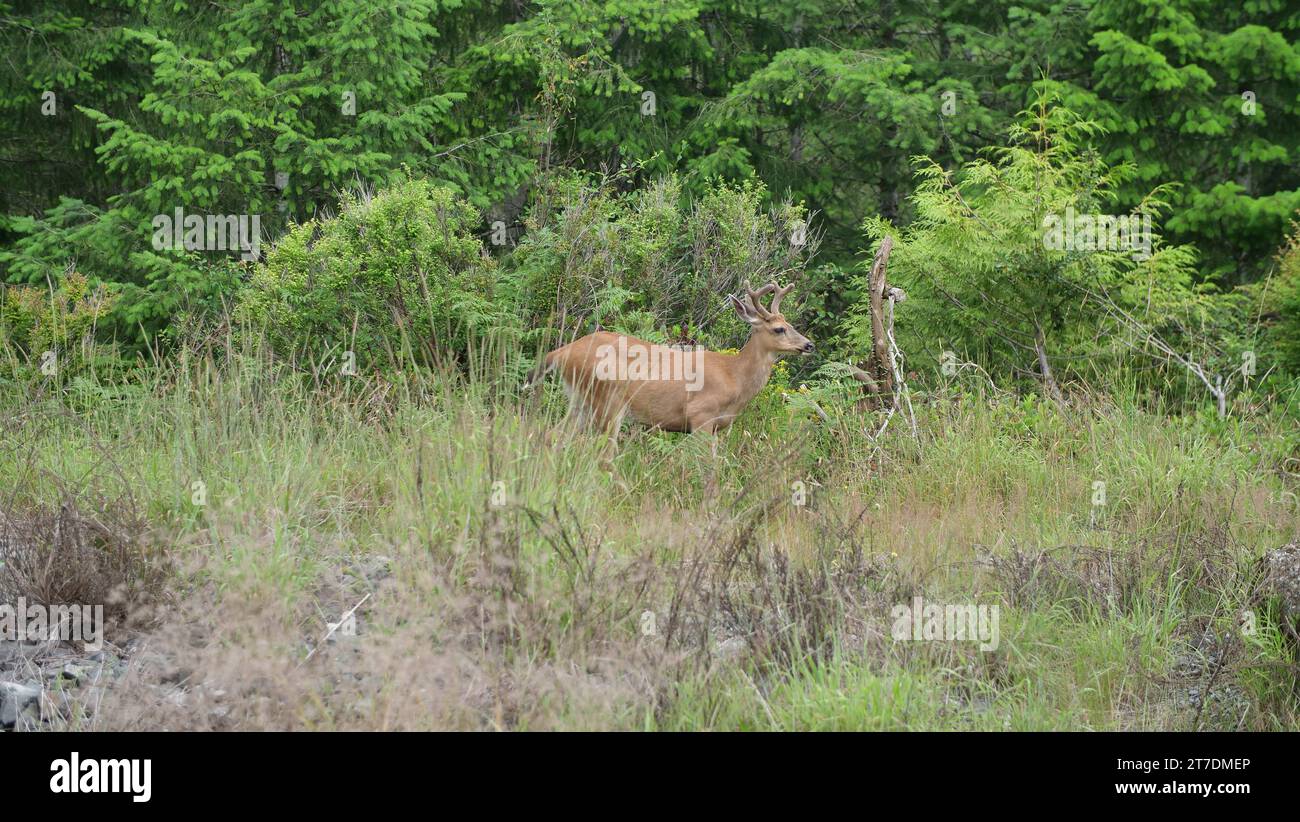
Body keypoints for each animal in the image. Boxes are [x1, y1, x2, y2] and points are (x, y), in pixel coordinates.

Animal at [530, 282, 813, 443]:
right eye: (779, 329)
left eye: (789, 323)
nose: (809, 344)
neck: (734, 376)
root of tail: (560, 353)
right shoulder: (701, 416)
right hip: (607, 401)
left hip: (579, 399)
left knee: (551, 434)